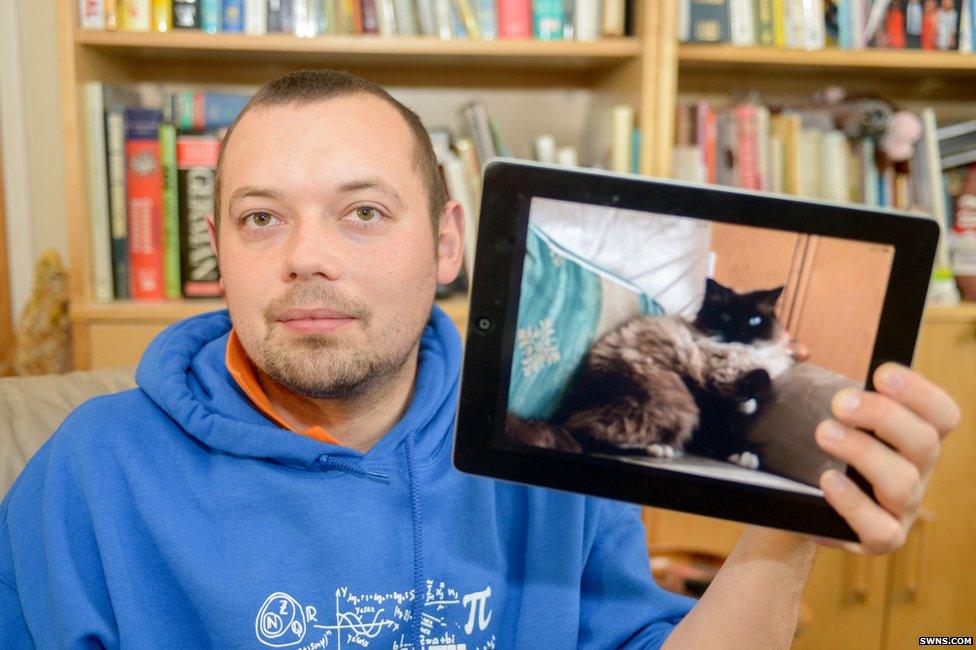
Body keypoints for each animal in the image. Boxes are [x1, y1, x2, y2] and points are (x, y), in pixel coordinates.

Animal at [508, 276, 796, 468]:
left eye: (754, 321)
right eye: (725, 318)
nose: (740, 334)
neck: (735, 356)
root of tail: (562, 412)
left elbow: (758, 382)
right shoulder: (705, 396)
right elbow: (727, 420)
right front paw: (744, 449)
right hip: (679, 403)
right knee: (587, 439)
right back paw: (660, 450)